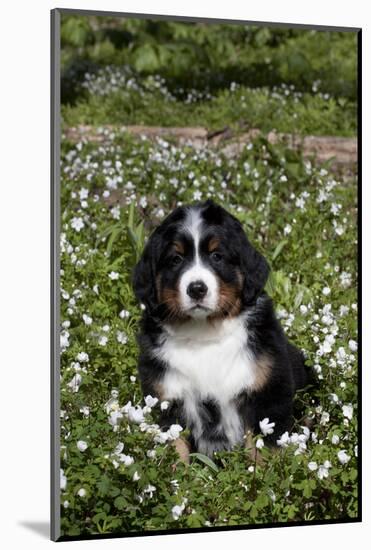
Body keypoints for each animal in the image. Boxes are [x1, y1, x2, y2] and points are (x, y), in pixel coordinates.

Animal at [132, 201, 312, 460]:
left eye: (217, 256)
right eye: (176, 259)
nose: (197, 289)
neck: (205, 333)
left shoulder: (267, 394)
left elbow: (265, 452)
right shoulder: (168, 398)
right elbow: (176, 451)